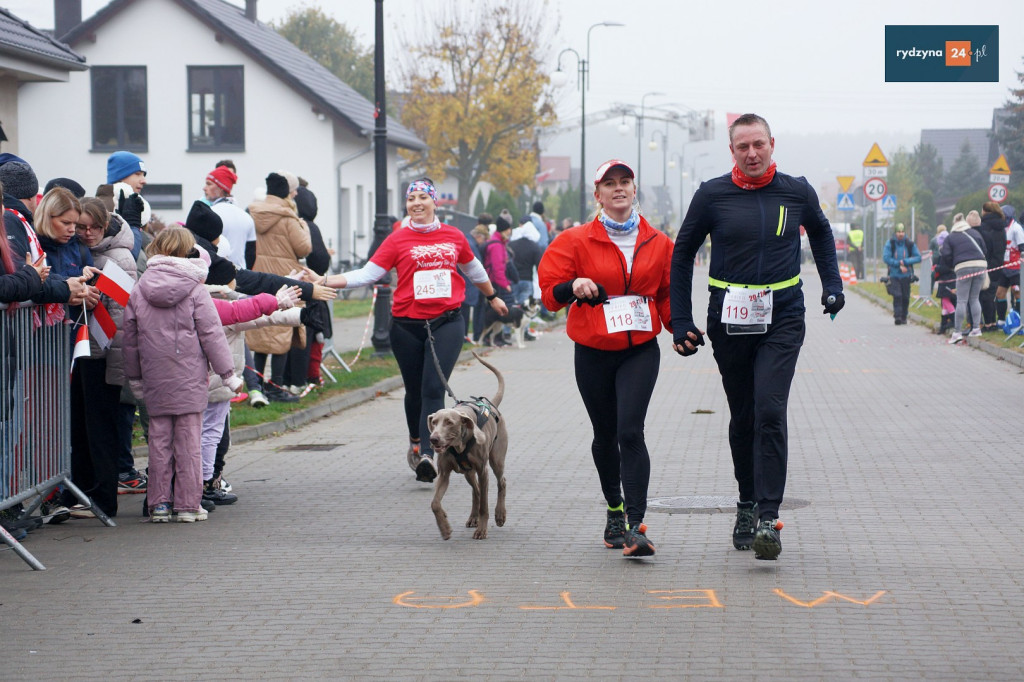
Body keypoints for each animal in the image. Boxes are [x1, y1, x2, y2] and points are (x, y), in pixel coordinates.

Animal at [425, 350, 505, 536]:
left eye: (449, 422)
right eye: (434, 422)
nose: (434, 438)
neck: (458, 446)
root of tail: (492, 406)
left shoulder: (483, 471)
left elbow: (484, 505)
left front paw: (482, 530)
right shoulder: (444, 473)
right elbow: (435, 503)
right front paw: (444, 528)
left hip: (496, 460)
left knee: (501, 482)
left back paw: (500, 515)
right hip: (467, 471)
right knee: (476, 491)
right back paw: (473, 517)